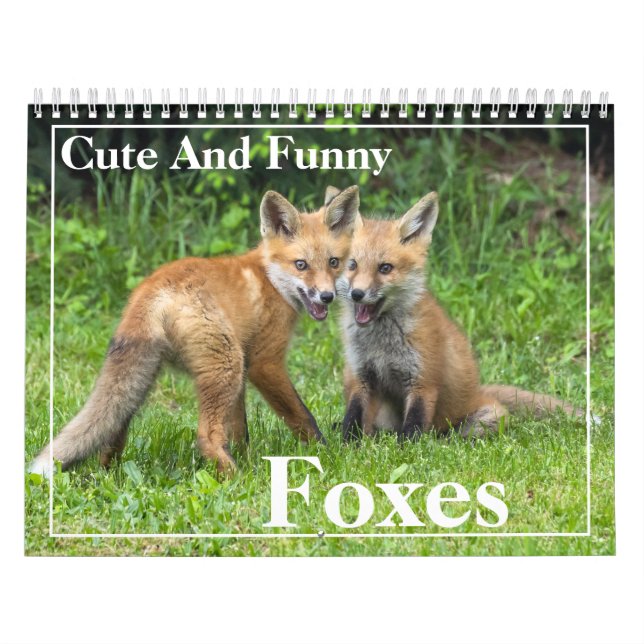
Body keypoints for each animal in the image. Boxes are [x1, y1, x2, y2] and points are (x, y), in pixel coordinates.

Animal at [29, 185, 361, 477]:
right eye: (301, 265)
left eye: (334, 262)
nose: (327, 297)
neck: (270, 279)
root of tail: (152, 287)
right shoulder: (263, 363)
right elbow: (303, 416)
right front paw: (325, 453)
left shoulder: (244, 372)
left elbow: (240, 430)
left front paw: (245, 455)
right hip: (224, 365)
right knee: (206, 436)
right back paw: (236, 477)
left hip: (146, 377)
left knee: (113, 428)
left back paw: (109, 472)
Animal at [336, 190, 584, 442]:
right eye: (352, 265)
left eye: (385, 268)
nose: (357, 294)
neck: (381, 345)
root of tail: (478, 391)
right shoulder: (361, 377)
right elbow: (353, 417)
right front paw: (347, 445)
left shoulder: (423, 382)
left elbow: (413, 427)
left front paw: (407, 449)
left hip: (488, 418)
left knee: (449, 435)